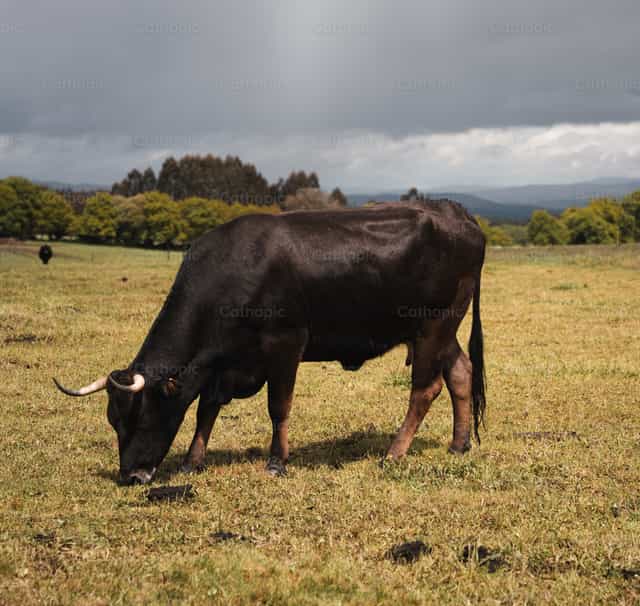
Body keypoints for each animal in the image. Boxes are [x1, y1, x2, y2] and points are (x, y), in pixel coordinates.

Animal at [54, 200, 486, 484]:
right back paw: (458, 443)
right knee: (461, 374)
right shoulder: (222, 363)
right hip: (441, 331)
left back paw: (395, 451)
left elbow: (278, 407)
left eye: (141, 416)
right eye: (113, 420)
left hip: (434, 325)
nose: (131, 475)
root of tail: (457, 213)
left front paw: (277, 461)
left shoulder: (285, 345)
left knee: (425, 389)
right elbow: (206, 408)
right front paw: (194, 460)